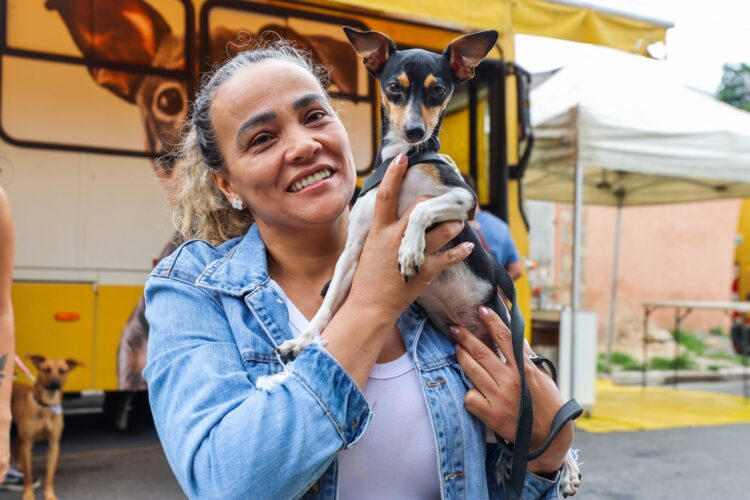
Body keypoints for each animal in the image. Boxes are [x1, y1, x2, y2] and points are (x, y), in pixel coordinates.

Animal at [11, 356, 81, 500]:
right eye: (46, 370)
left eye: (62, 371)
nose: (54, 383)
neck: (46, 405)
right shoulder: (27, 444)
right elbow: (28, 474)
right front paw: (28, 494)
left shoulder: (53, 444)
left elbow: (50, 475)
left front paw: (50, 495)